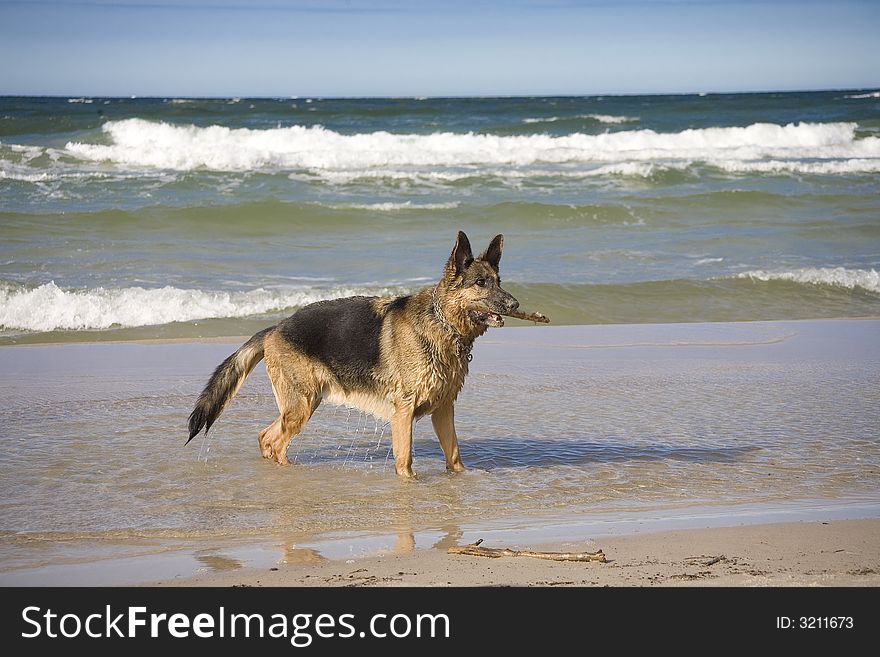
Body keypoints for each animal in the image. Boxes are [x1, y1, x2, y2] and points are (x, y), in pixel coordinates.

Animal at [186, 232, 516, 476]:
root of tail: (276, 327)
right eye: (480, 283)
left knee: (265, 436)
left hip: (301, 405)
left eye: (498, 282)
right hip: (301, 406)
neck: (441, 323)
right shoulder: (403, 411)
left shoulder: (443, 410)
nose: (514, 305)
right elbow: (405, 461)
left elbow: (455, 456)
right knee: (276, 442)